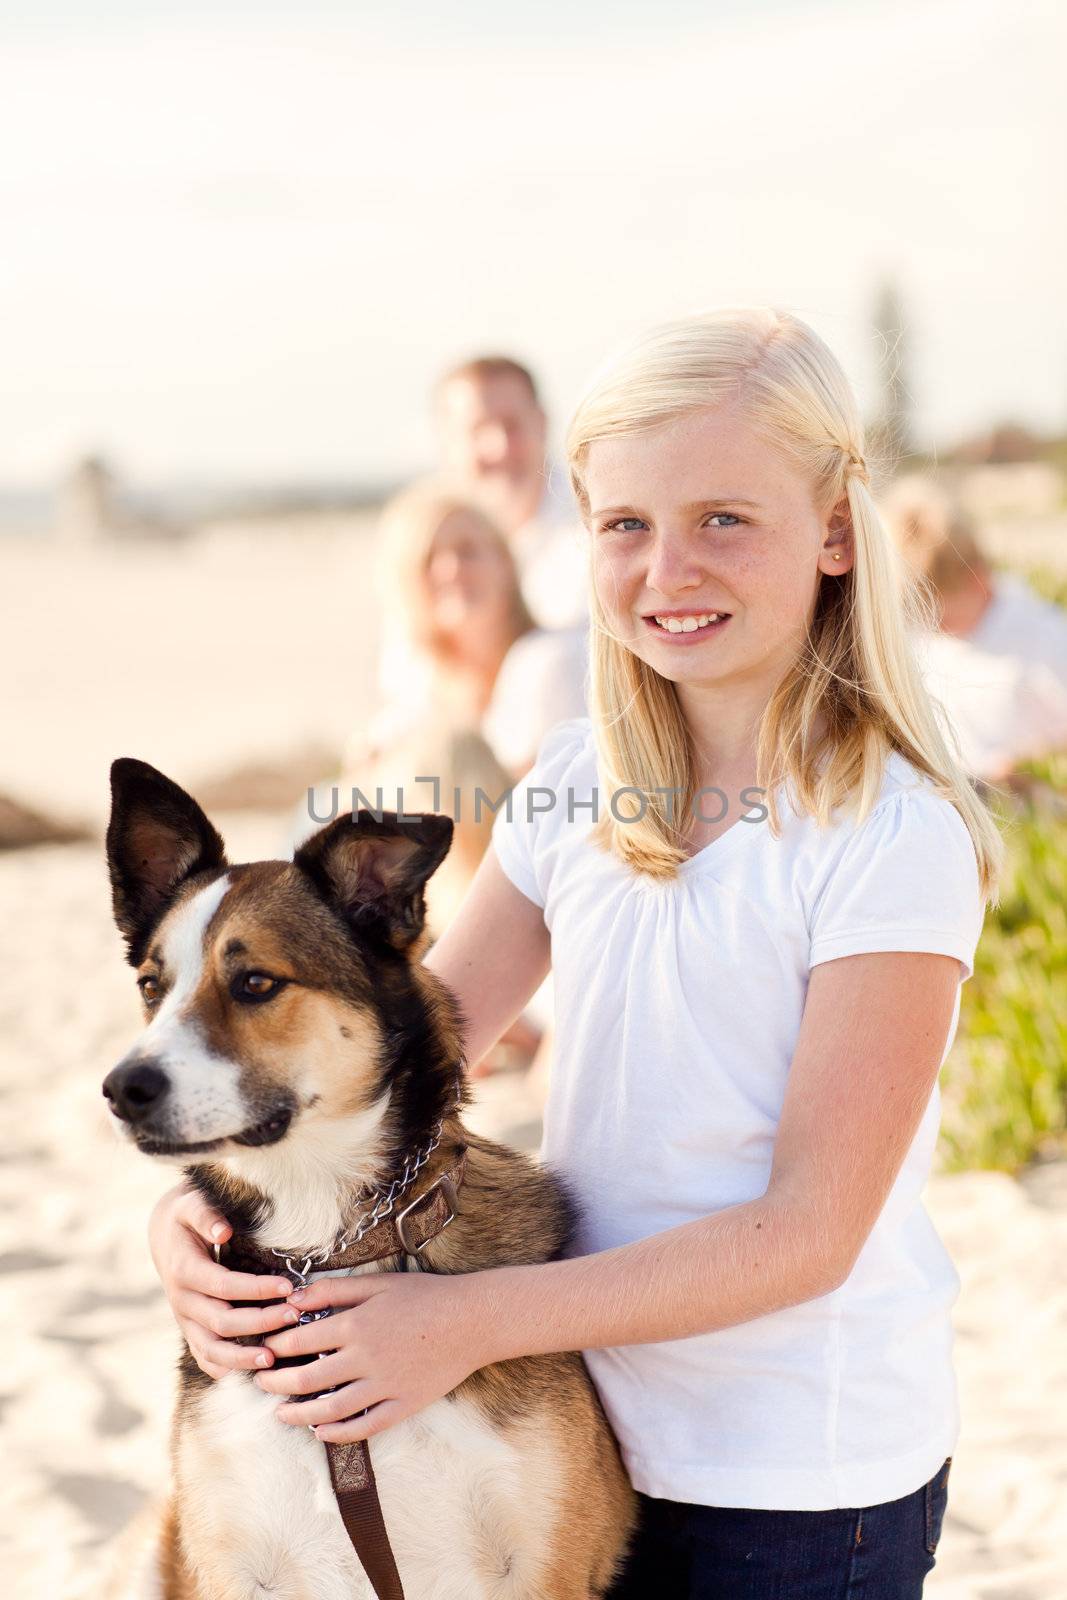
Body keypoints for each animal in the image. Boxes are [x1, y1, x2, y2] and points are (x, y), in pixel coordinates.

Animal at [102, 758, 633, 1600]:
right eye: (153, 987)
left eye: (255, 983)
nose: (122, 1090)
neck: (323, 1241)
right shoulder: (224, 1558)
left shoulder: (544, 1564)